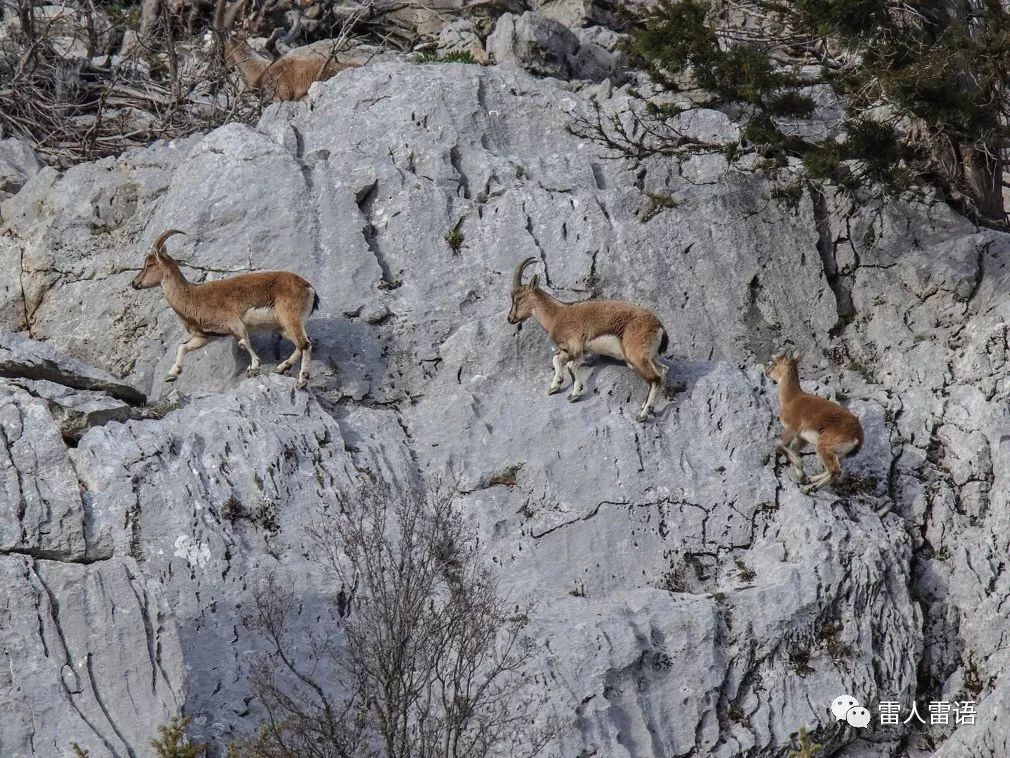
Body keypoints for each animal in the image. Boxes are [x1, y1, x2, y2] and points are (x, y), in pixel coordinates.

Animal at [130, 230, 317, 386]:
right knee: (302, 343)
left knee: (305, 344)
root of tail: (308, 287)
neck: (193, 296)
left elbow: (243, 341)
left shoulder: (233, 321)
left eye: (150, 264)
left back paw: (302, 380)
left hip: (289, 316)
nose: (134, 283)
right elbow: (183, 347)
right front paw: (172, 374)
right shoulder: (206, 335)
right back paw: (282, 367)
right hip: (283, 326)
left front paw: (254, 367)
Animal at [505, 255, 670, 422]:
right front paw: (555, 386)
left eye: (518, 298)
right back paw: (650, 406)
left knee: (655, 379)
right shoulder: (567, 349)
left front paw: (574, 394)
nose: (510, 319)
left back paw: (643, 414)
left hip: (635, 357)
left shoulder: (576, 346)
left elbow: (571, 367)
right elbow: (556, 360)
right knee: (663, 371)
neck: (556, 315)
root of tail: (659, 327)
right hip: (649, 357)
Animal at [767, 349, 864, 493]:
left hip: (824, 446)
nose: (766, 372)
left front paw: (800, 470)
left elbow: (779, 444)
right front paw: (801, 474)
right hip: (838, 453)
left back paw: (809, 488)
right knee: (834, 469)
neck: (791, 399)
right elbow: (793, 449)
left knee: (835, 470)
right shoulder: (802, 437)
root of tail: (858, 438)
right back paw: (810, 480)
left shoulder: (793, 428)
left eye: (774, 363)